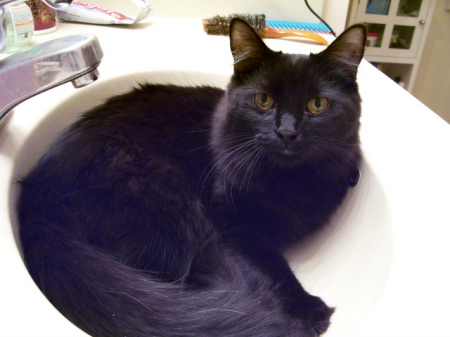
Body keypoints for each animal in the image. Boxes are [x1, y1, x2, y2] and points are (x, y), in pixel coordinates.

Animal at [17, 19, 366, 334]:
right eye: (263, 101)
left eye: (317, 105)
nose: (287, 133)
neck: (289, 181)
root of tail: (38, 195)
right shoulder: (231, 223)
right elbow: (271, 264)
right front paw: (307, 309)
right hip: (163, 206)